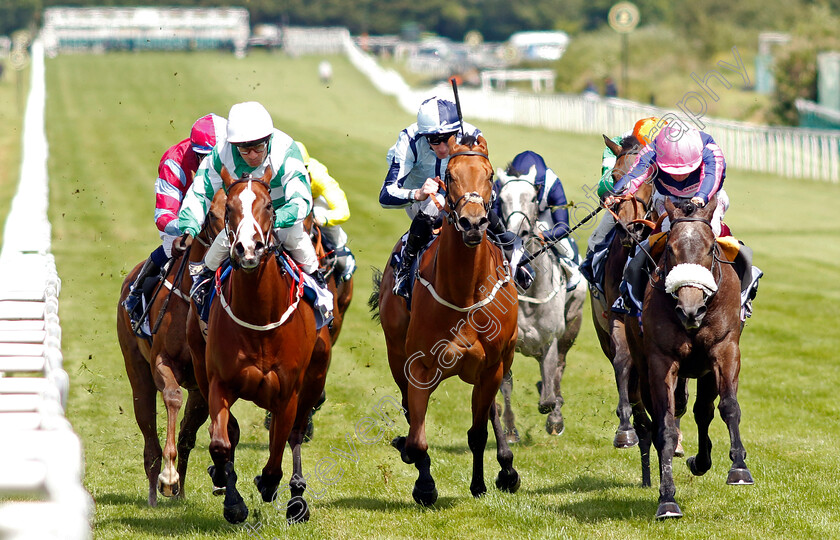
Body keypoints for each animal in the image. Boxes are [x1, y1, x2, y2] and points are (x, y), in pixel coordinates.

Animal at [185, 170, 326, 524]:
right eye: (229, 208)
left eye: (269, 206)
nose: (247, 248)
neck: (260, 317)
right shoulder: (219, 383)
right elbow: (221, 443)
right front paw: (232, 499)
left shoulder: (288, 392)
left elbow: (278, 449)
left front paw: (270, 484)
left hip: (315, 377)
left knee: (295, 433)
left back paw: (297, 498)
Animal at [372, 135, 520, 506]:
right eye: (449, 176)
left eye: (490, 173)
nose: (473, 223)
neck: (464, 293)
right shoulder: (419, 366)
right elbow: (416, 438)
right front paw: (424, 483)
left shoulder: (491, 366)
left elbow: (479, 431)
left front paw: (480, 483)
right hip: (396, 355)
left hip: (501, 361)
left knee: (492, 410)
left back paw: (507, 469)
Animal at [624, 198, 756, 520]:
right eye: (671, 249)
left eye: (710, 249)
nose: (690, 310)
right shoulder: (661, 361)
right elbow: (666, 428)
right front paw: (667, 499)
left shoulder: (725, 350)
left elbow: (729, 407)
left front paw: (739, 468)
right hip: (644, 367)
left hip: (706, 371)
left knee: (702, 411)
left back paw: (703, 460)